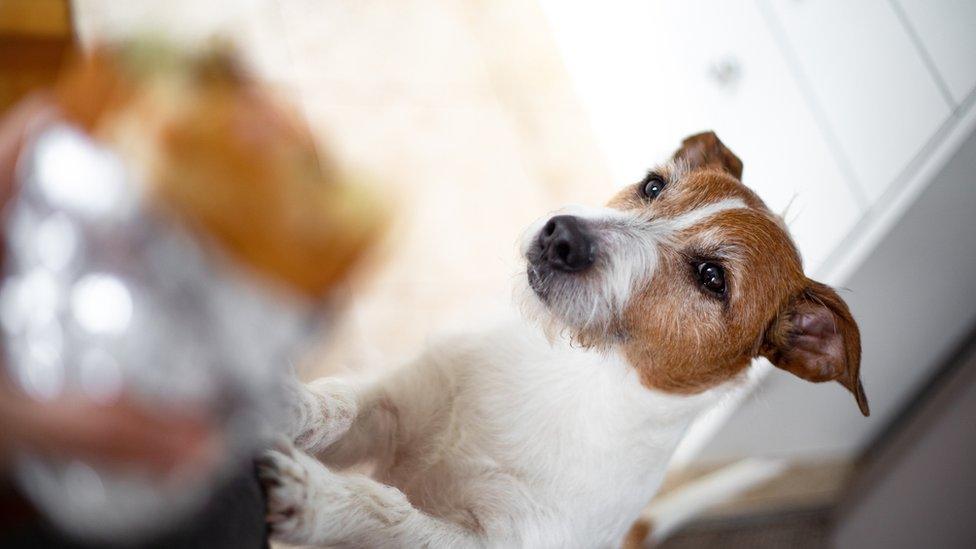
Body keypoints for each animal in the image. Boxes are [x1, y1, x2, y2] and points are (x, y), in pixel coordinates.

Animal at [258, 133, 868, 548]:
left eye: (712, 278)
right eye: (653, 185)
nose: (561, 235)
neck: (576, 376)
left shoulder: (483, 541)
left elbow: (390, 513)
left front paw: (315, 497)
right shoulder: (396, 402)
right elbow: (338, 404)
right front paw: (283, 404)